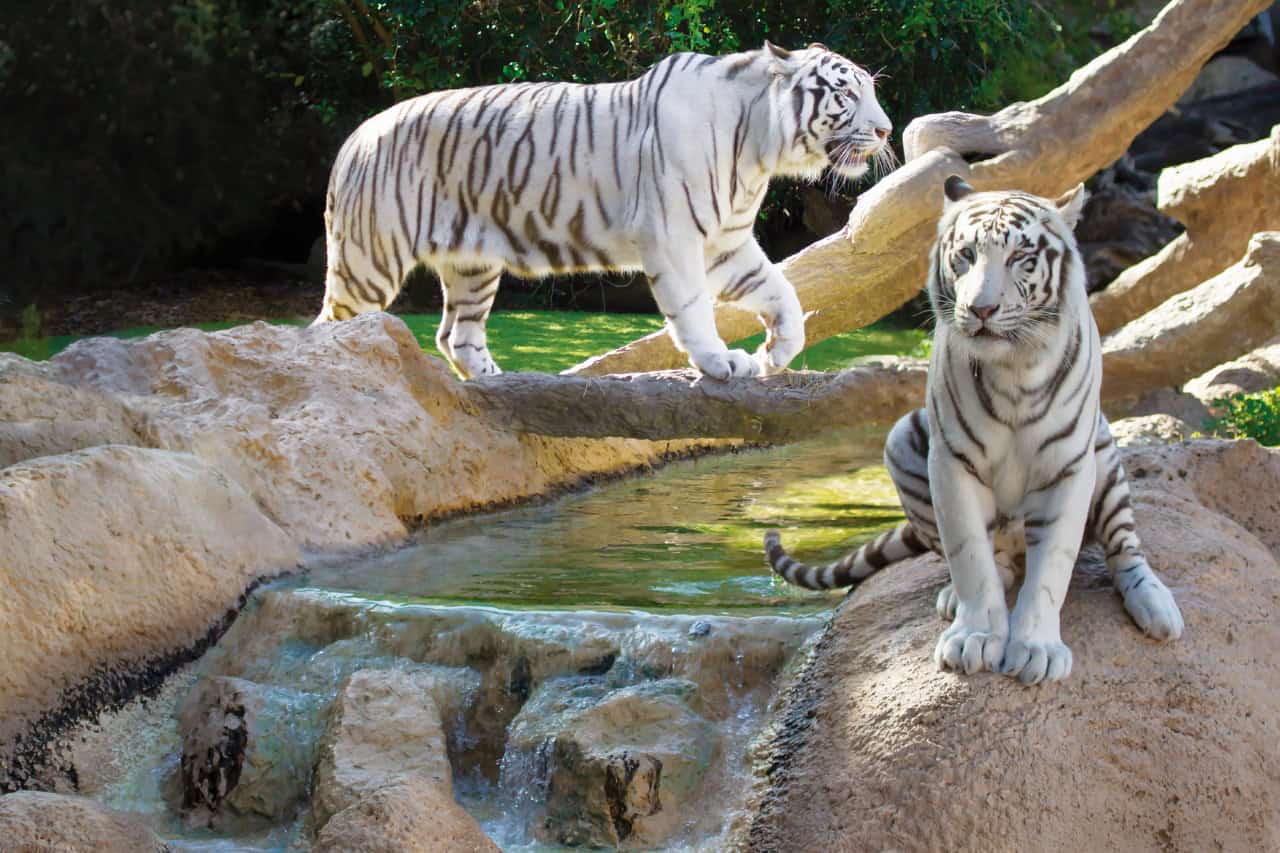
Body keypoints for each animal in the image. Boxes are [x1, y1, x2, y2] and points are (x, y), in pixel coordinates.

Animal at [313, 43, 893, 380]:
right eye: (845, 92)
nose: (887, 130)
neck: (760, 147)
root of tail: (355, 137)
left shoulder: (725, 244)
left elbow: (783, 292)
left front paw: (774, 353)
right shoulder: (675, 239)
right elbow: (694, 309)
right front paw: (721, 361)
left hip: (472, 264)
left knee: (455, 335)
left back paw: (501, 380)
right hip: (370, 262)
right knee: (328, 328)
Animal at [764, 176, 1184, 685]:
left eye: (1021, 257)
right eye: (965, 254)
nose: (982, 309)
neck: (1015, 369)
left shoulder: (1068, 466)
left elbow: (1052, 568)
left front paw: (1037, 648)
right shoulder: (951, 462)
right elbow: (968, 555)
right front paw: (975, 638)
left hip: (1104, 455)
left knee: (1124, 548)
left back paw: (1156, 606)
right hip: (902, 440)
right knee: (991, 557)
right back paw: (960, 594)